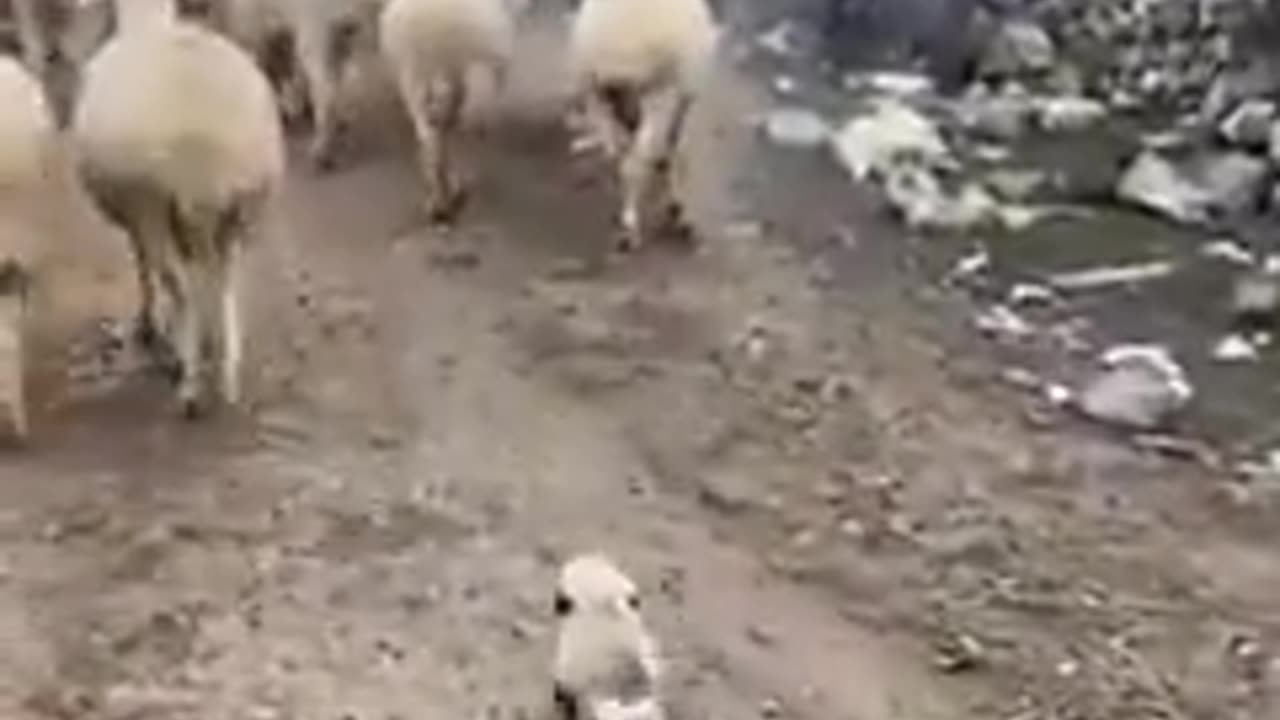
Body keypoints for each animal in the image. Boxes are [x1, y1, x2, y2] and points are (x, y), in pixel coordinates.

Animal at [71, 0, 286, 415]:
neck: (146, 20)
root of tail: (207, 163)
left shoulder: (135, 213)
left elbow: (142, 267)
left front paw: (149, 327)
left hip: (152, 205)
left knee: (180, 285)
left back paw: (190, 384)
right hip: (241, 208)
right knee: (226, 280)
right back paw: (227, 370)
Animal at [376, 0, 512, 221]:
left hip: (420, 78)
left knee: (434, 138)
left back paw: (442, 198)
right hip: (438, 79)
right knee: (443, 137)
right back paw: (447, 195)